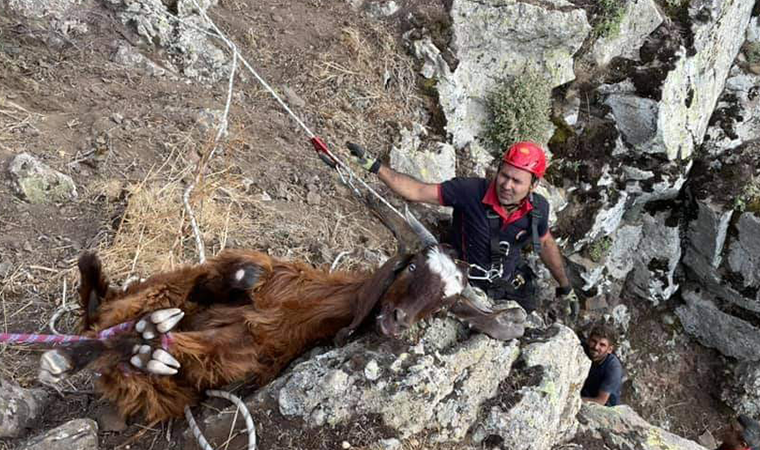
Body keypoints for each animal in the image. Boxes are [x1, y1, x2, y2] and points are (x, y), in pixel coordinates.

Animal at [41, 243, 472, 422]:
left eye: (444, 302)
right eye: (412, 268)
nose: (398, 321)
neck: (315, 304)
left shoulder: (252, 353)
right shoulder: (262, 277)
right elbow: (241, 272)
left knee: (131, 357)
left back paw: (138, 345)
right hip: (157, 289)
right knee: (110, 314)